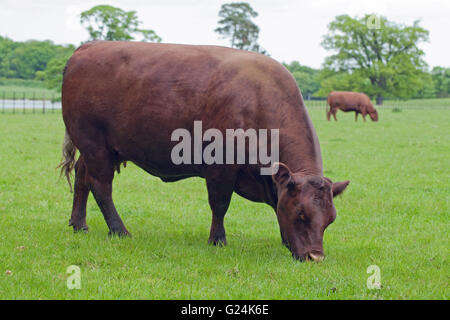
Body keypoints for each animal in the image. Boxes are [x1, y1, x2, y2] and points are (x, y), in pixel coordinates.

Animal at [59, 41, 350, 262]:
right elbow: (220, 203)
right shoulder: (221, 167)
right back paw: (119, 230)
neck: (258, 101)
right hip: (95, 146)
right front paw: (217, 239)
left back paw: (79, 224)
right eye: (301, 213)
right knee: (101, 187)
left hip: (97, 149)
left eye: (331, 219)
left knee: (82, 178)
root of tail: (88, 47)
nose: (315, 257)